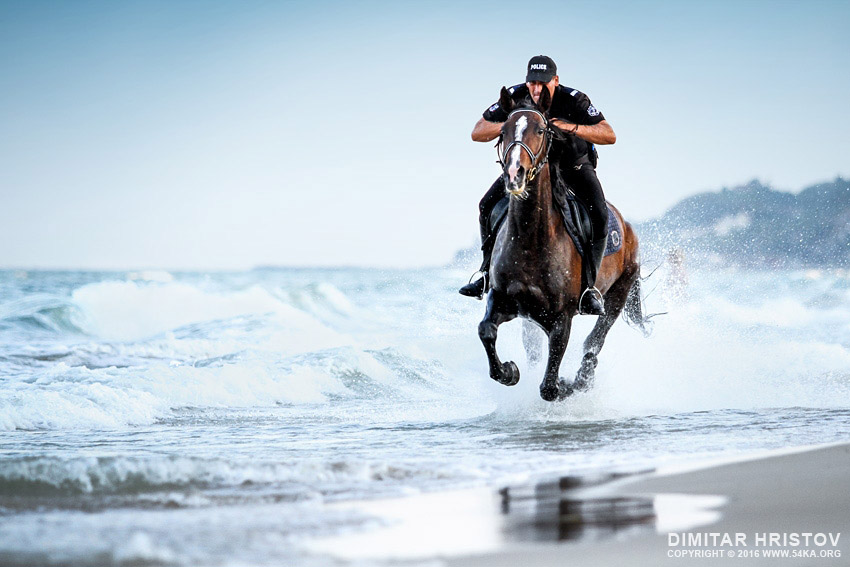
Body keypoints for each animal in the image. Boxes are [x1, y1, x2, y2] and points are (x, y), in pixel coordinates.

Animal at [476, 86, 644, 402]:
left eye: (542, 130)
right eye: (503, 130)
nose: (514, 174)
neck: (530, 241)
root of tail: (628, 229)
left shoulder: (561, 319)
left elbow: (550, 387)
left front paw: (566, 384)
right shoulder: (502, 300)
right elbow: (486, 331)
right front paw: (509, 371)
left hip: (619, 293)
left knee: (594, 343)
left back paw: (583, 379)